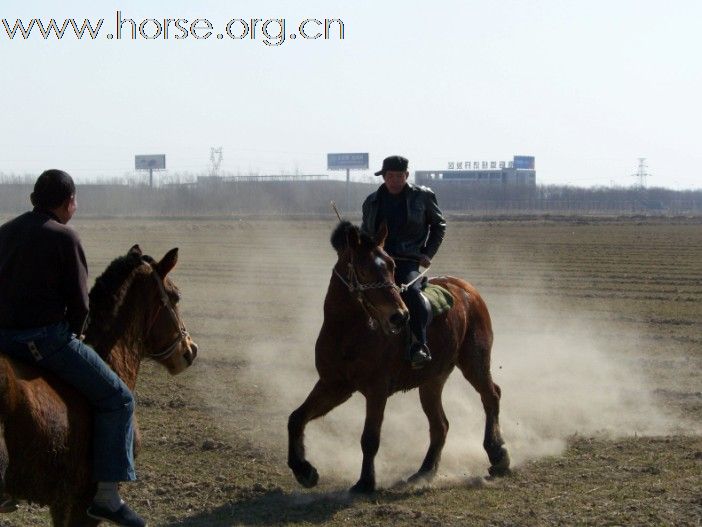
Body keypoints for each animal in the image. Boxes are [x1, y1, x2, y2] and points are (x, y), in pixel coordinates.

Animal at [288, 221, 508, 492]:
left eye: (392, 265)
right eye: (363, 269)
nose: (399, 316)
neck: (348, 331)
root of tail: (467, 290)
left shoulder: (377, 390)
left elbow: (370, 438)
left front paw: (365, 483)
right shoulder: (334, 385)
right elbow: (296, 418)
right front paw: (304, 470)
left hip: (475, 362)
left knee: (491, 396)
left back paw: (498, 454)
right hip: (432, 380)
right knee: (440, 425)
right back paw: (424, 472)